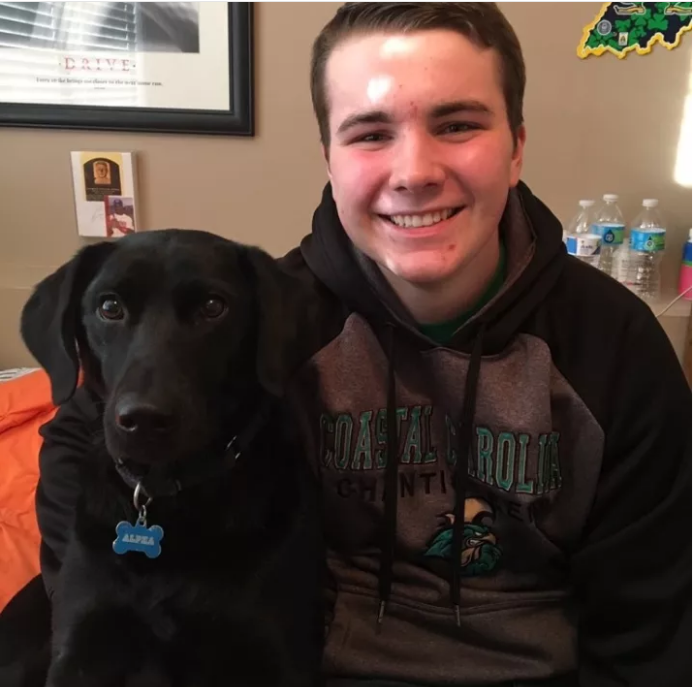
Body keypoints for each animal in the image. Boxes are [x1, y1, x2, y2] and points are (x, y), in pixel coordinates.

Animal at [19, 229, 324, 687]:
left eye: (213, 307)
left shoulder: (275, 657)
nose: (144, 419)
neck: (167, 497)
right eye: (109, 306)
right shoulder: (80, 649)